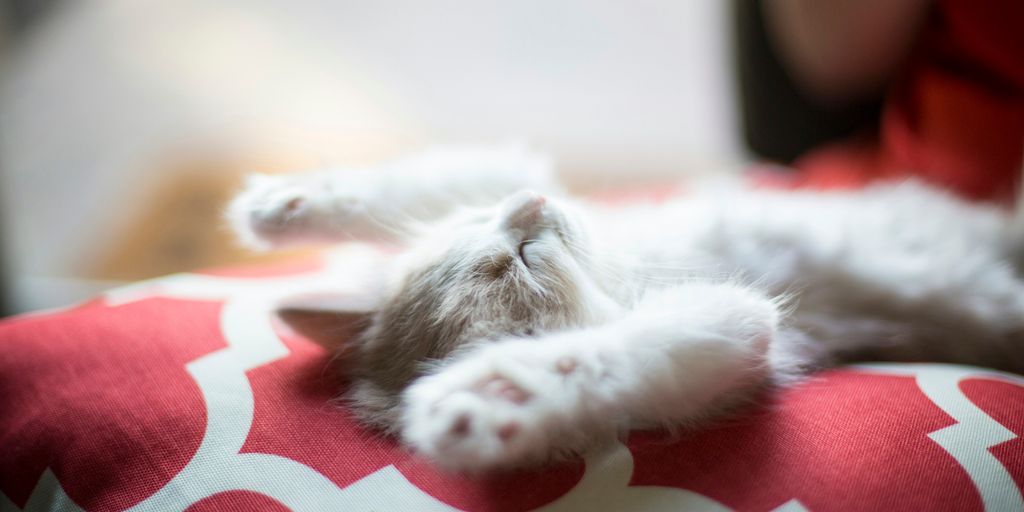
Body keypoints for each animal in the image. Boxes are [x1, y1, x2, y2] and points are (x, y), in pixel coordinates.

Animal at [228, 146, 1024, 468]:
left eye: (491, 226)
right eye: (524, 256)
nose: (530, 207)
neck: (618, 268)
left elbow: (441, 178)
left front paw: (284, 203)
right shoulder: (740, 323)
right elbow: (600, 355)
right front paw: (496, 394)